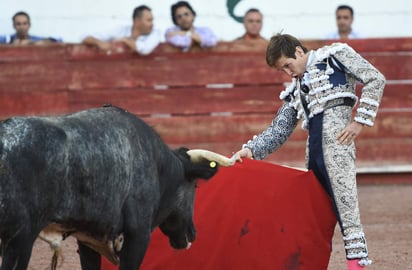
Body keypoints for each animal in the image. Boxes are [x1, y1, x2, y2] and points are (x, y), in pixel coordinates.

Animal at [0, 106, 235, 270]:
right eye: (194, 185)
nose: (193, 233)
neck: (158, 164)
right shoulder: (137, 234)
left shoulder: (87, 239)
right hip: (20, 240)